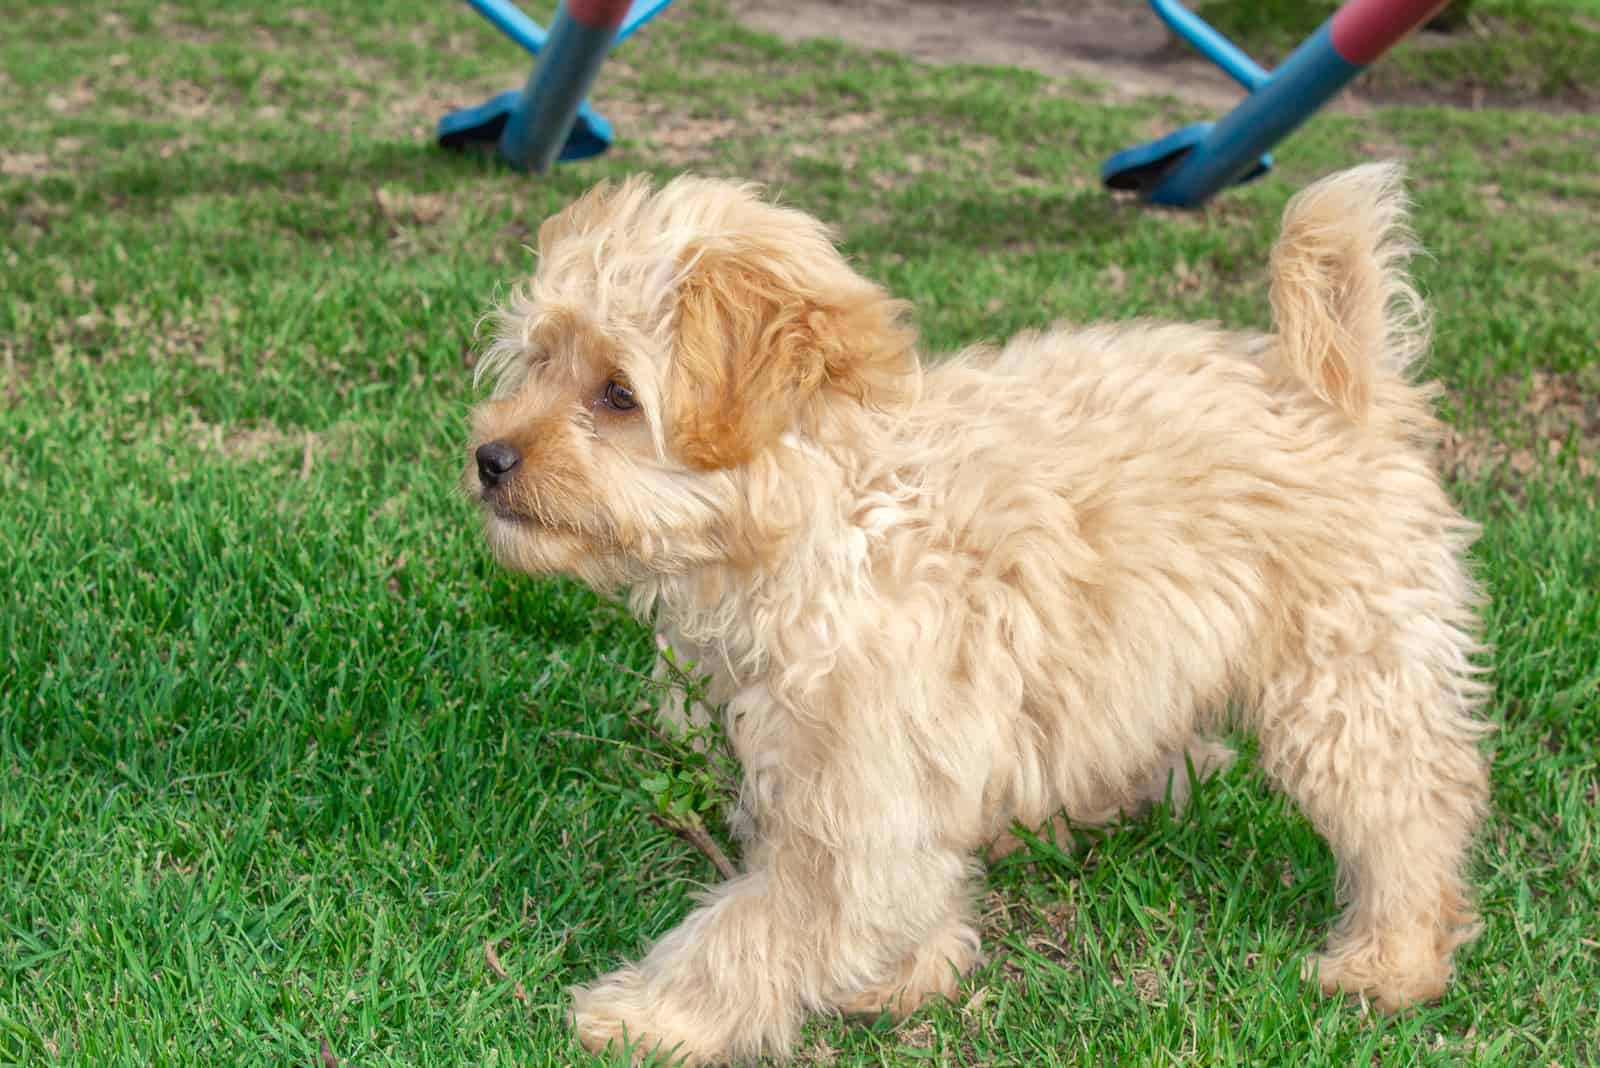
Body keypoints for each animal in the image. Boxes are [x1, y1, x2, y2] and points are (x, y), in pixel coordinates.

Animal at [464, 163, 1484, 1061]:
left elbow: (759, 925)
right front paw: (913, 971)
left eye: (618, 395)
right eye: (539, 361)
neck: (839, 511)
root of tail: (1338, 385)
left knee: (1410, 812)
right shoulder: (869, 773)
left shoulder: (859, 786)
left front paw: (646, 1017)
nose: (490, 456)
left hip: (1349, 677)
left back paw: (1389, 963)